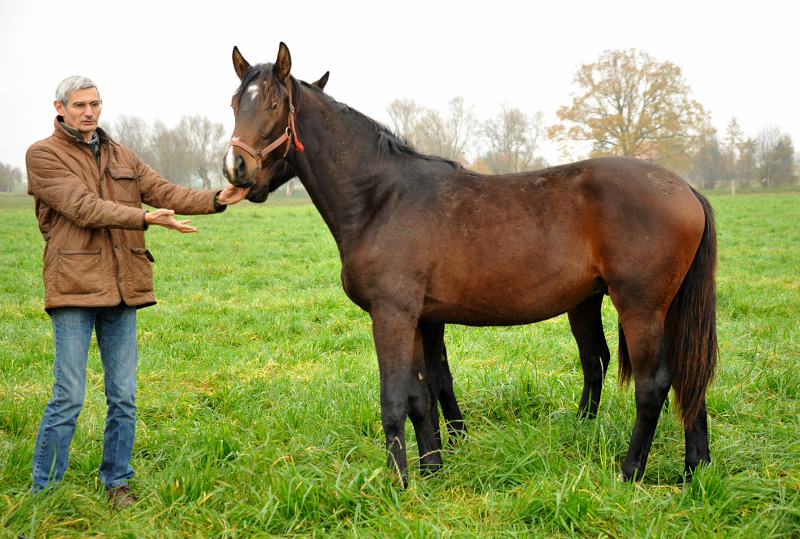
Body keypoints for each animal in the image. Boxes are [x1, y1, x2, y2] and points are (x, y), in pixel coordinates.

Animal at [225, 44, 720, 488]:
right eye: (234, 103)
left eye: (272, 104)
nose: (236, 168)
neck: (380, 198)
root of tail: (685, 189)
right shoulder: (420, 319)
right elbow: (421, 396)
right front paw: (432, 470)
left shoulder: (392, 315)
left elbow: (394, 401)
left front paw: (400, 484)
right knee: (686, 377)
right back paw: (694, 470)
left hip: (640, 308)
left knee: (654, 385)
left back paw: (630, 472)